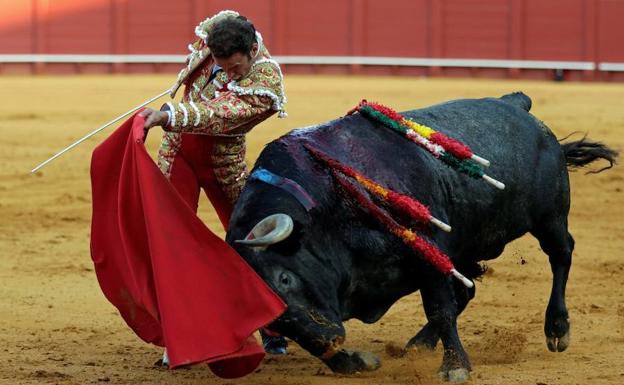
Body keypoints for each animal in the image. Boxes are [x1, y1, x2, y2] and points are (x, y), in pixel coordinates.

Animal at [223, 91, 616, 380]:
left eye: (284, 278)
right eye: (268, 318)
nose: (329, 339)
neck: (328, 204)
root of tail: (517, 104)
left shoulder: (428, 250)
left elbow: (440, 308)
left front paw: (455, 367)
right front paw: (351, 362)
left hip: (550, 217)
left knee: (561, 255)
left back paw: (557, 328)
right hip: (468, 247)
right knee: (467, 290)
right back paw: (418, 343)